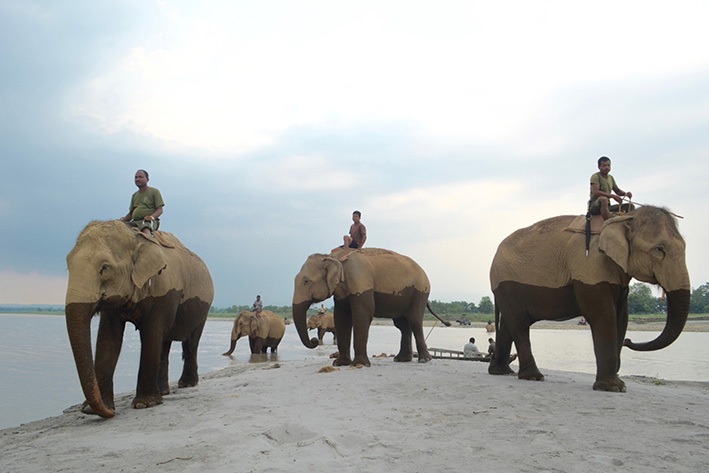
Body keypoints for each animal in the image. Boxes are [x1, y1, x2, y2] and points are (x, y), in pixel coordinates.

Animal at [65, 220, 214, 418]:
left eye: (105, 268)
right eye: (68, 265)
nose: (110, 413)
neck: (135, 236)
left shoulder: (163, 291)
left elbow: (151, 334)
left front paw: (144, 404)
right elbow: (108, 339)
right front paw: (94, 409)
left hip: (204, 308)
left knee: (191, 342)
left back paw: (186, 384)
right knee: (164, 344)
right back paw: (164, 391)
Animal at [292, 248, 450, 367]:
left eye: (306, 281)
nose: (314, 341)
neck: (334, 257)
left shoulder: (361, 282)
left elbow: (362, 315)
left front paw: (359, 364)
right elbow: (341, 318)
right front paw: (339, 363)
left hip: (420, 292)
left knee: (415, 321)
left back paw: (423, 360)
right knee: (402, 325)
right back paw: (401, 359)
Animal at [488, 206, 690, 392]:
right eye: (659, 249)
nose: (628, 341)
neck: (622, 219)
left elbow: (621, 318)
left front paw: (618, 383)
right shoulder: (590, 266)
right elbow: (603, 315)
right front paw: (613, 387)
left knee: (509, 323)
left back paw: (502, 372)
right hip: (506, 284)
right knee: (519, 323)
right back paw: (533, 377)